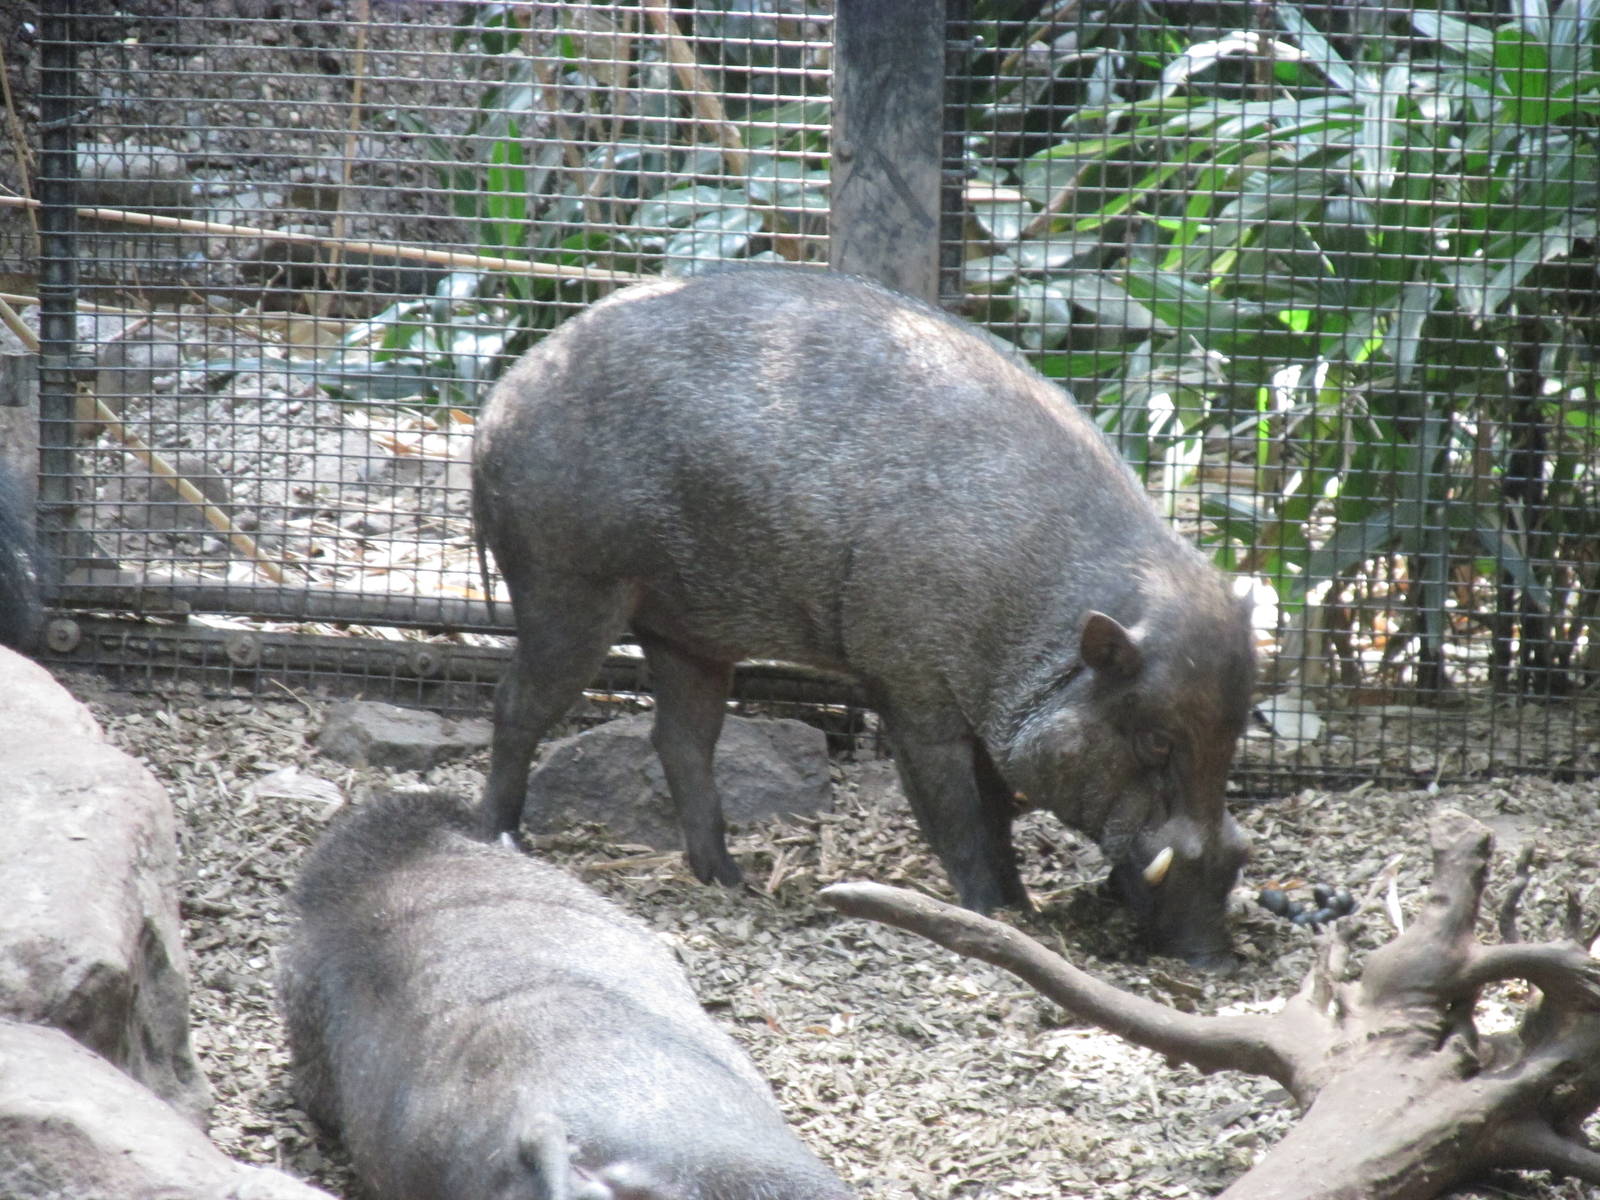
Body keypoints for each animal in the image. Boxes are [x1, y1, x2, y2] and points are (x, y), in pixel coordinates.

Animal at [472, 265, 1254, 967]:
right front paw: (996, 915)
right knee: (517, 704)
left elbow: (998, 807)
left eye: (1234, 738)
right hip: (567, 587)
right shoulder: (911, 688)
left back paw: (730, 880)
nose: (1212, 960)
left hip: (686, 631)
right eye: (1155, 741)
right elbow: (958, 812)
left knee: (680, 740)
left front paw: (1021, 909)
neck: (1041, 615)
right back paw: (501, 840)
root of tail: (496, 404)